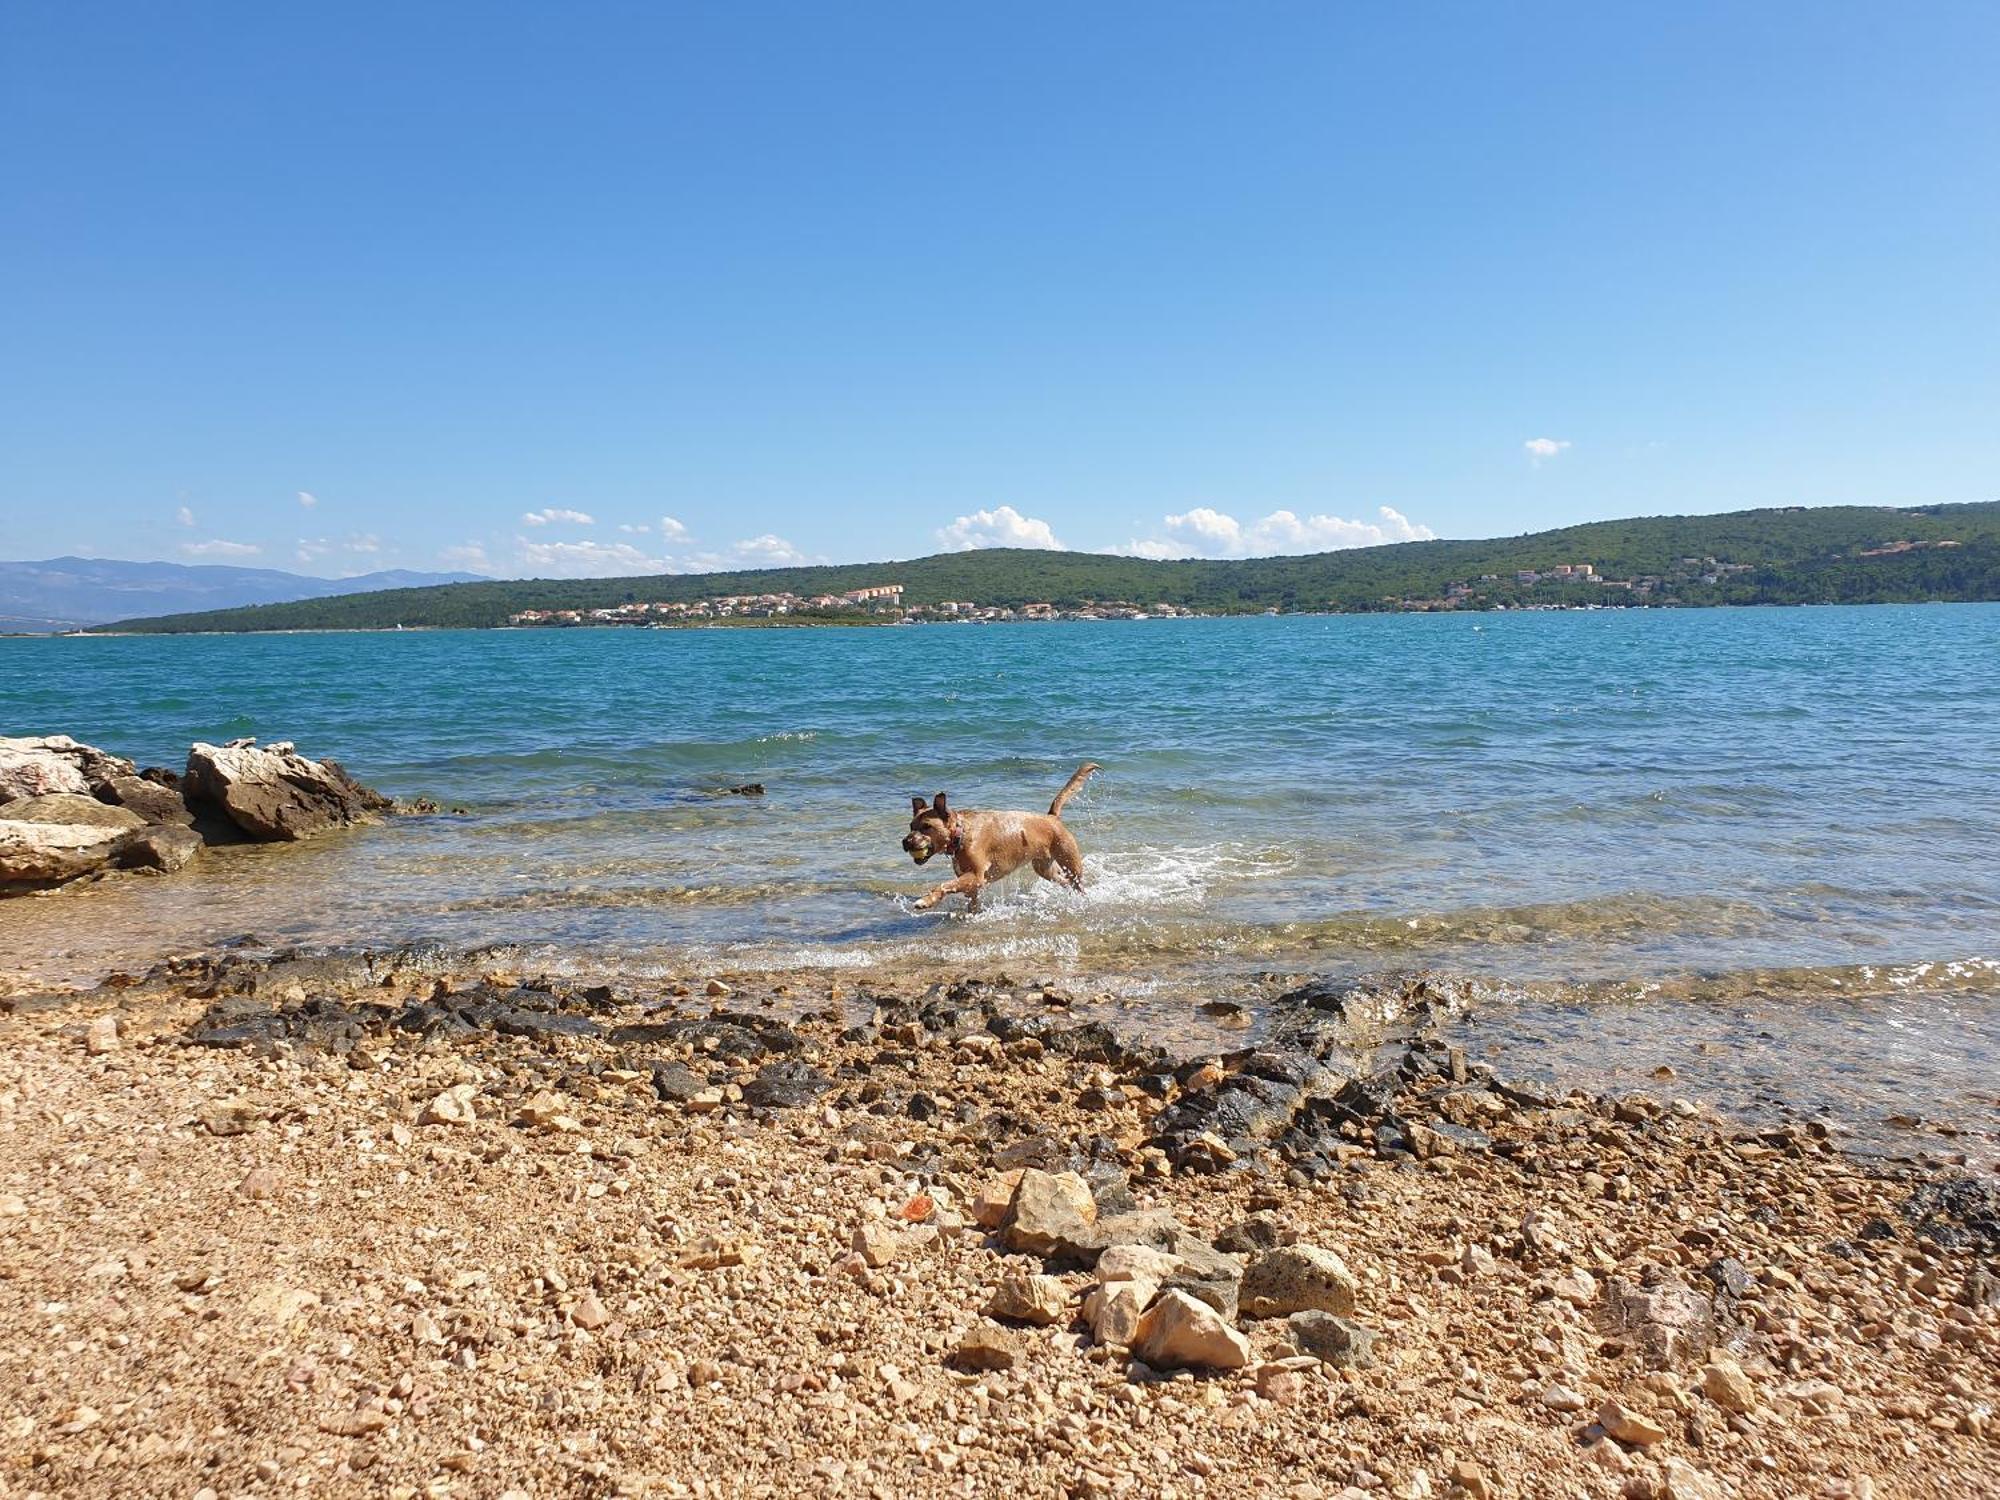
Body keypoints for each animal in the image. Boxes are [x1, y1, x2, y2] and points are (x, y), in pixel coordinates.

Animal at [904, 768, 1104, 912]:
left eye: (926, 826)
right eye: (911, 826)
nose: (905, 842)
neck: (961, 834)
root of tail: (1051, 817)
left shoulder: (976, 876)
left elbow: (944, 885)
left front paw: (926, 900)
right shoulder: (972, 883)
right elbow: (971, 900)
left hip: (1071, 862)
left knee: (1077, 883)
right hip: (1045, 869)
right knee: (1064, 881)